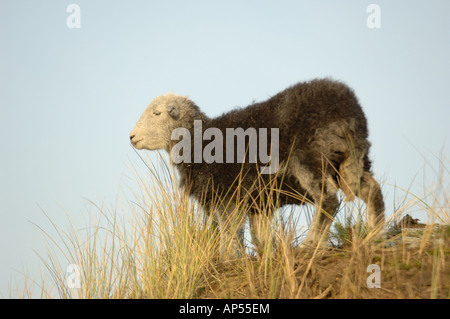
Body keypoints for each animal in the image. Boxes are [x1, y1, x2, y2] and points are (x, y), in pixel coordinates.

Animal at [129, 78, 384, 258]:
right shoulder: (259, 203)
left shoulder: (228, 196)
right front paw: (264, 256)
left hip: (309, 159)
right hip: (348, 162)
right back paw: (375, 235)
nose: (131, 137)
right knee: (372, 191)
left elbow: (229, 234)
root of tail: (347, 107)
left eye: (156, 113)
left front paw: (227, 260)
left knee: (328, 200)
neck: (198, 141)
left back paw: (310, 246)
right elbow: (259, 237)